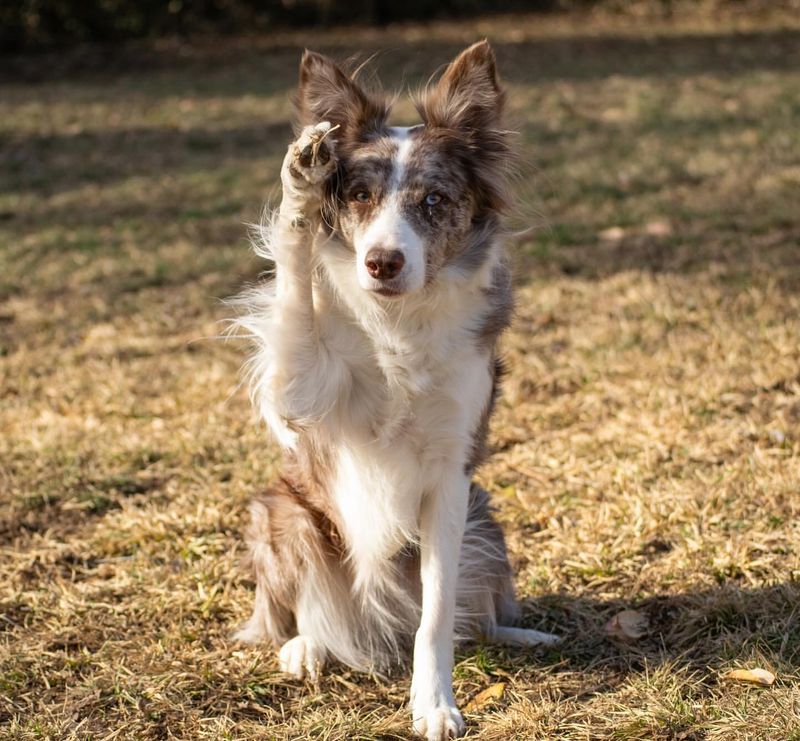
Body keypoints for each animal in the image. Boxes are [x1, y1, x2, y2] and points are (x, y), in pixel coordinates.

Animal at [231, 40, 556, 740]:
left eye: (433, 200)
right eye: (358, 194)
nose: (381, 263)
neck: (399, 323)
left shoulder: (451, 475)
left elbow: (436, 617)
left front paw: (434, 703)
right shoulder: (301, 392)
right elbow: (294, 290)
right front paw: (300, 188)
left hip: (486, 525)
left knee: (463, 618)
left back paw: (523, 634)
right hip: (284, 516)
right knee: (313, 618)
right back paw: (305, 648)